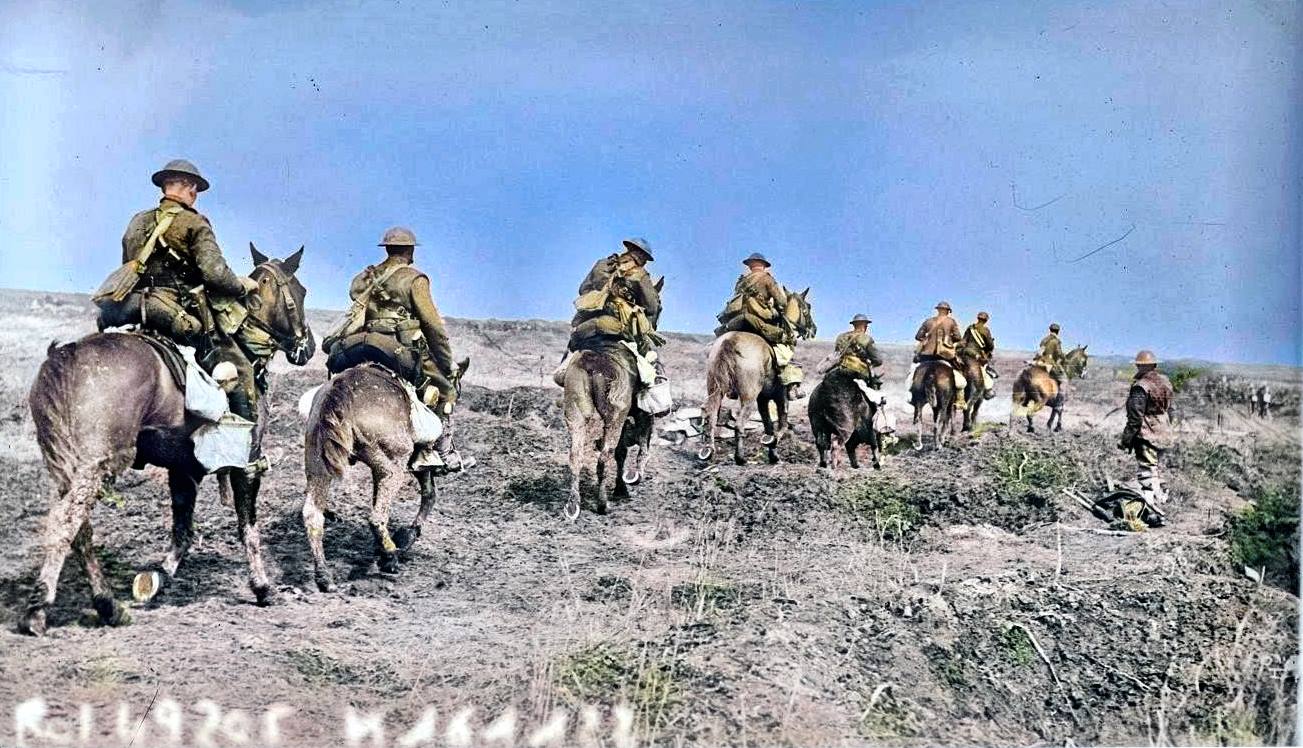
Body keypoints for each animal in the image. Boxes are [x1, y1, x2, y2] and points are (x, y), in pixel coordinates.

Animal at [24, 248, 314, 635]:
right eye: (300, 291)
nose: (309, 347)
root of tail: (65, 356)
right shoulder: (247, 464)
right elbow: (247, 527)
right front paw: (262, 587)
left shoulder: (182, 468)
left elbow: (182, 529)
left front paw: (157, 578)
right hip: (96, 465)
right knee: (66, 522)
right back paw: (40, 609)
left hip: (66, 467)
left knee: (80, 529)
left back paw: (108, 605)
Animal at [299, 359, 469, 594]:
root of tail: (340, 390)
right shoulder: (416, 461)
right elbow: (429, 494)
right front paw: (407, 536)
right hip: (394, 468)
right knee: (376, 516)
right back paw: (390, 555)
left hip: (319, 464)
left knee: (313, 514)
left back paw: (324, 576)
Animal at [698, 290, 807, 466]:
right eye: (806, 308)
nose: (812, 329)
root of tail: (729, 341)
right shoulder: (781, 397)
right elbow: (782, 425)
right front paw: (772, 445)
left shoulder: (762, 399)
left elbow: (768, 425)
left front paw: (772, 453)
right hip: (748, 397)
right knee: (739, 424)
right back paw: (740, 458)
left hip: (715, 389)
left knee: (711, 417)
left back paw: (708, 452)